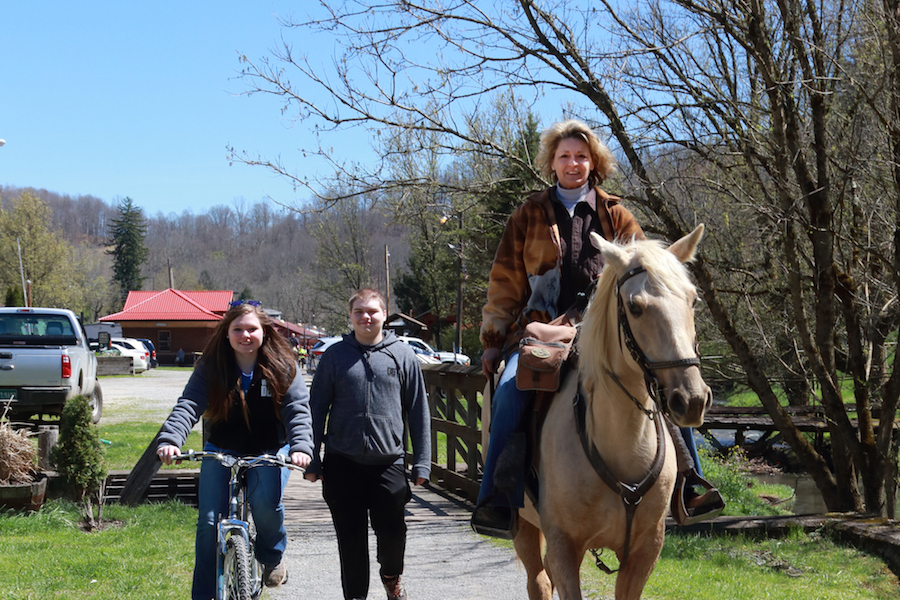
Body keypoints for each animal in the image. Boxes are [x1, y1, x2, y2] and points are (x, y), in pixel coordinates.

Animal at [502, 225, 708, 600]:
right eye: (635, 307)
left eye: (692, 300)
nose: (691, 400)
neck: (621, 444)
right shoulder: (564, 547)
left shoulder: (645, 551)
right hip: (523, 523)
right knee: (538, 581)